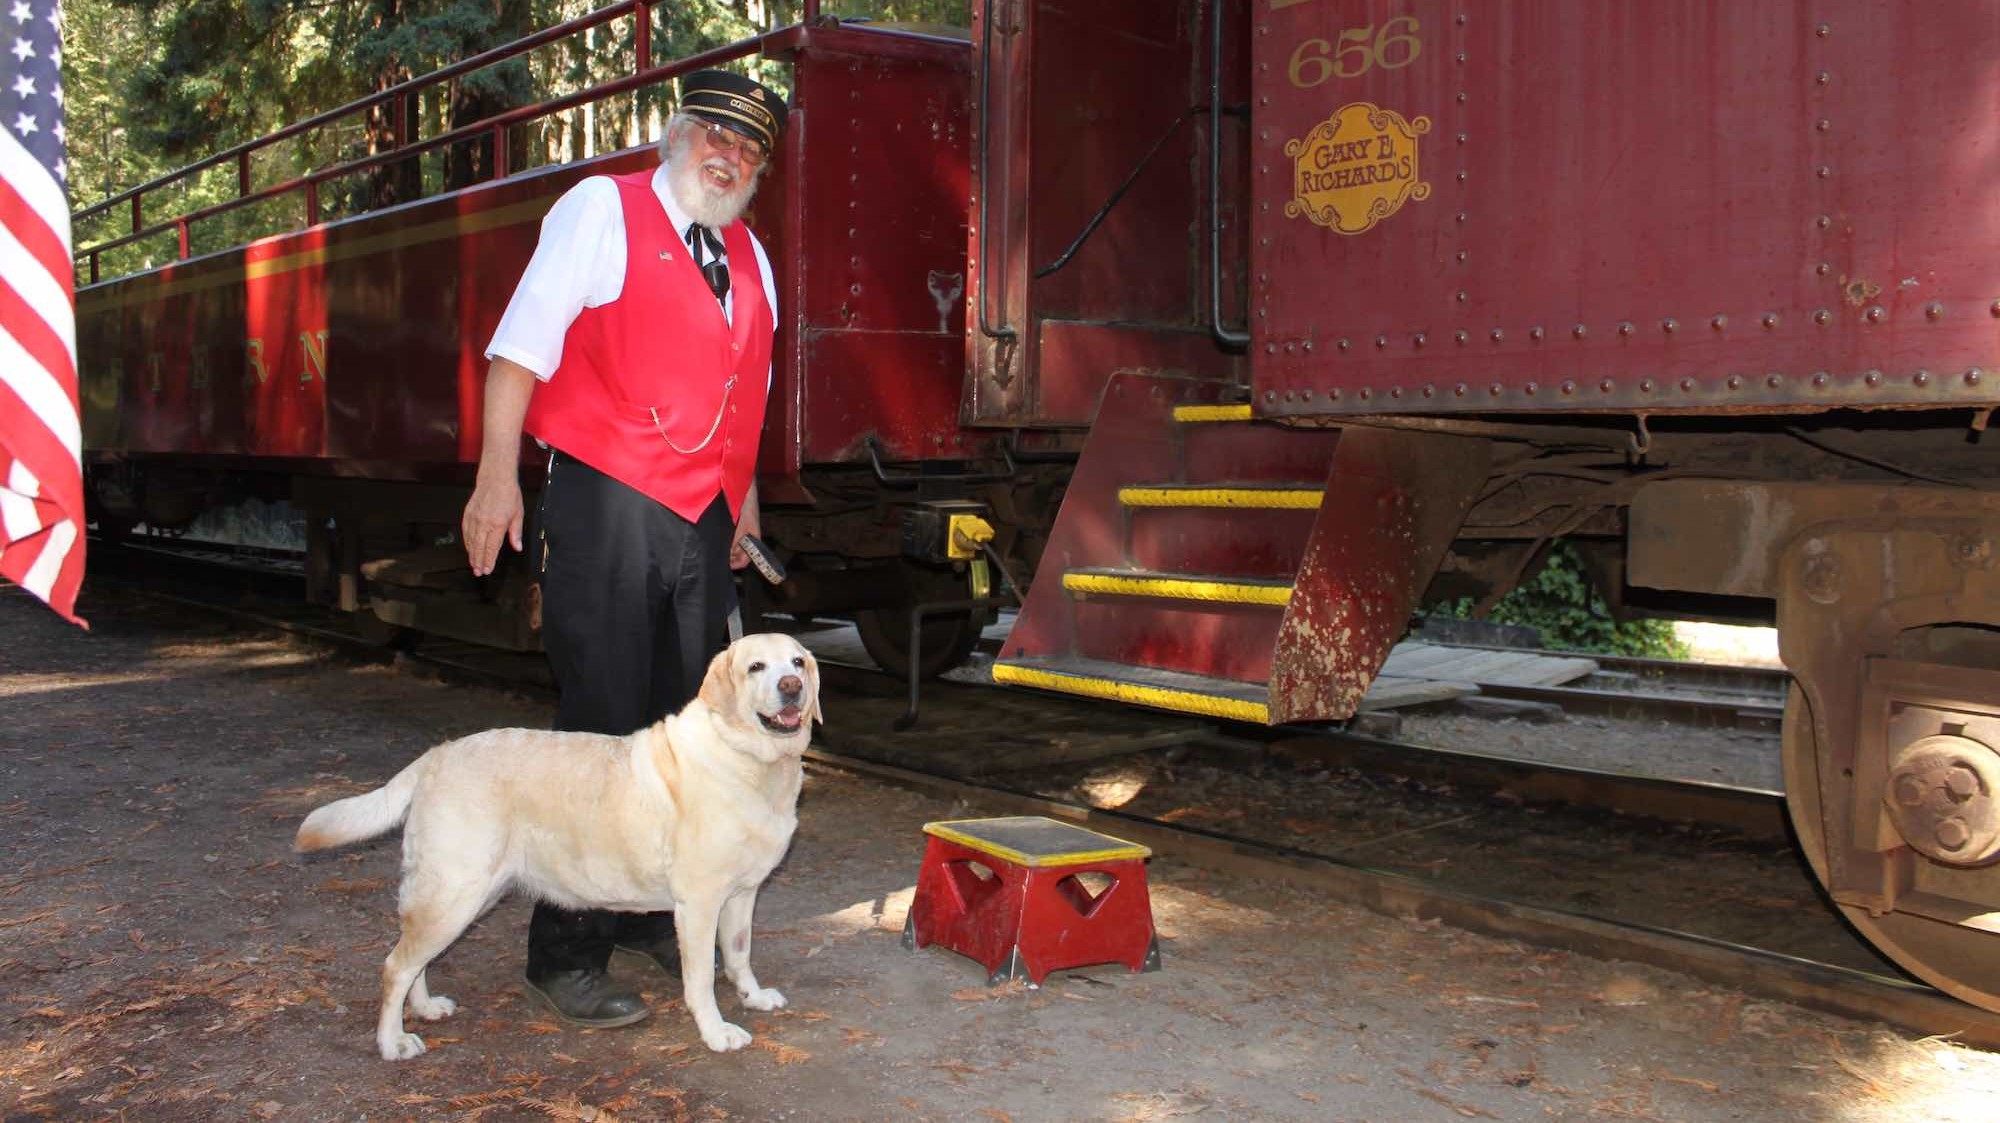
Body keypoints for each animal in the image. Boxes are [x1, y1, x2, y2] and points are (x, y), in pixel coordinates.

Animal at [292, 631, 820, 1055]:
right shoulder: (700, 902)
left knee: (415, 959)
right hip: (456, 892)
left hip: (465, 894)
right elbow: (703, 979)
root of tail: (435, 757)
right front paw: (716, 1032)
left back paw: (424, 1007)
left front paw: (753, 996)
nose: (791, 688)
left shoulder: (742, 894)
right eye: (756, 667)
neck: (751, 761)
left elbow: (739, 953)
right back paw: (392, 1042)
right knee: (394, 965)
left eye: (796, 663)